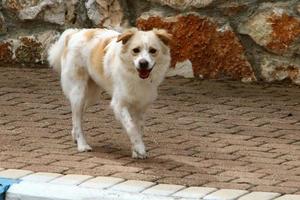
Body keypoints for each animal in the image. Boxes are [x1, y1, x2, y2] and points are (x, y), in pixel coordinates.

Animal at [48, 28, 172, 159]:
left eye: (153, 50)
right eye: (135, 50)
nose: (143, 63)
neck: (136, 76)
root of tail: (74, 33)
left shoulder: (140, 108)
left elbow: (138, 128)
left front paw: (136, 150)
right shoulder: (119, 104)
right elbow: (131, 126)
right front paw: (140, 148)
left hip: (91, 96)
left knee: (77, 116)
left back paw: (75, 136)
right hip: (79, 93)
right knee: (76, 119)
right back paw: (82, 145)